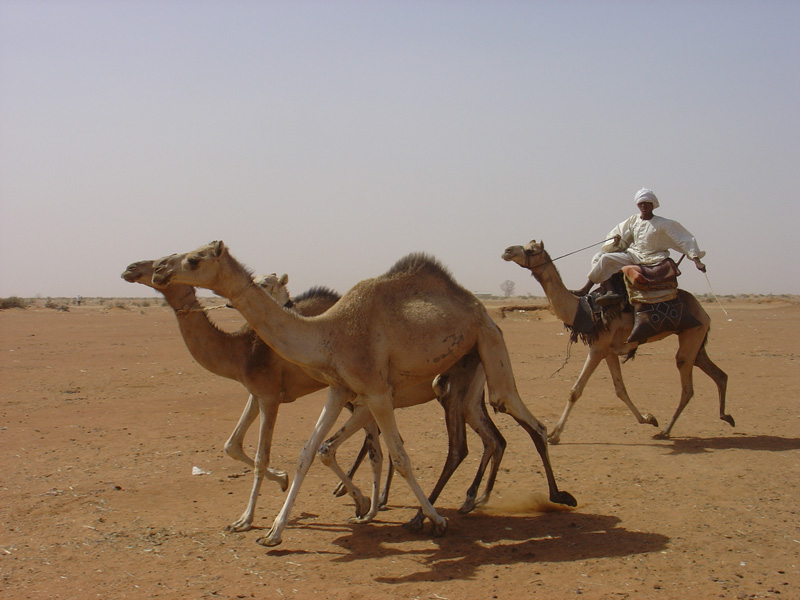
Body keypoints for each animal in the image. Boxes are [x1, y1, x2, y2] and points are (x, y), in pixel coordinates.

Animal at [152, 241, 576, 546]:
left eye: (193, 260)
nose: (159, 269)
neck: (329, 331)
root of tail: (477, 304)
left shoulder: (375, 392)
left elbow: (399, 457)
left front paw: (433, 520)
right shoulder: (341, 390)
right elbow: (309, 452)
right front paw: (273, 532)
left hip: (489, 339)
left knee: (515, 413)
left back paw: (555, 497)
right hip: (466, 370)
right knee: (486, 435)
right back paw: (474, 501)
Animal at [501, 240, 733, 441]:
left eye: (531, 250)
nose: (507, 250)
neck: (581, 309)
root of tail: (703, 310)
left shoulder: (597, 347)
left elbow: (575, 391)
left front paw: (554, 435)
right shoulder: (609, 351)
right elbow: (620, 389)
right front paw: (648, 419)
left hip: (693, 333)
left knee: (687, 385)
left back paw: (666, 432)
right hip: (696, 337)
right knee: (717, 374)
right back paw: (726, 417)